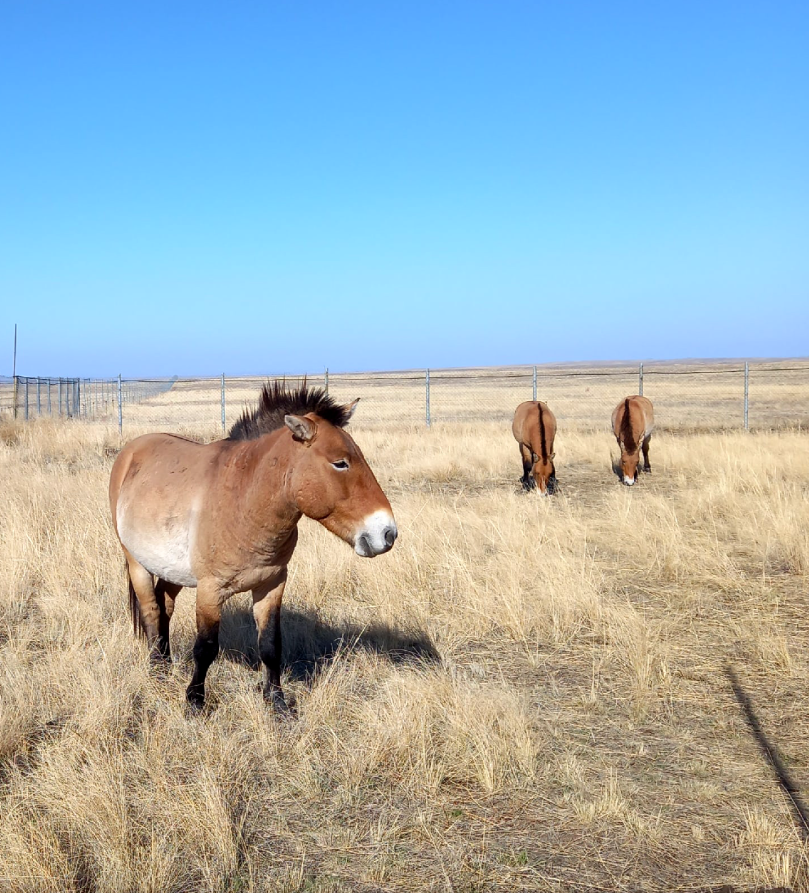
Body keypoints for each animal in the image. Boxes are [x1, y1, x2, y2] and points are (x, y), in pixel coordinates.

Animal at [107, 384, 398, 712]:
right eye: (340, 463)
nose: (387, 533)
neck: (244, 498)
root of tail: (131, 450)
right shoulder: (210, 591)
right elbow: (206, 647)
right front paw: (194, 700)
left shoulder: (271, 585)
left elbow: (270, 645)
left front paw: (277, 702)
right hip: (136, 563)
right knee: (151, 610)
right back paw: (156, 669)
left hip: (171, 568)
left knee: (164, 607)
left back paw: (165, 663)